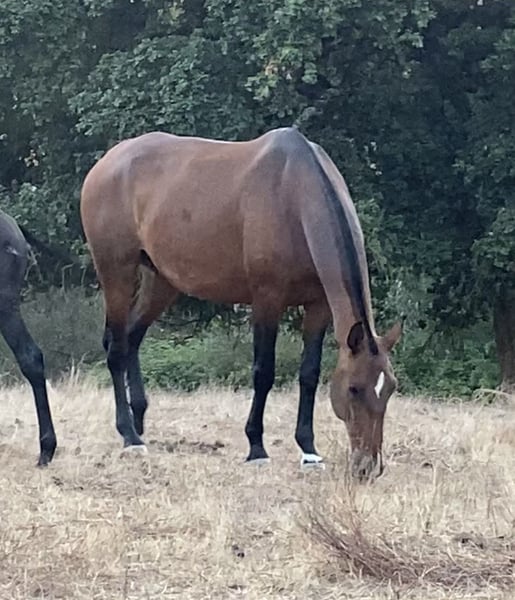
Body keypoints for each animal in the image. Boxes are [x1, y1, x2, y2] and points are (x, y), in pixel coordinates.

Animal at [80, 126, 401, 481]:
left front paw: (309, 450)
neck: (294, 193)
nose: (368, 466)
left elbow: (309, 374)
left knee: (133, 338)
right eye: (355, 389)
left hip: (161, 281)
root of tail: (107, 162)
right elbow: (263, 372)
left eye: (390, 388)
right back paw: (129, 436)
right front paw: (256, 448)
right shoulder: (266, 300)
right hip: (117, 273)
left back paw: (138, 424)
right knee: (117, 348)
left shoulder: (318, 306)